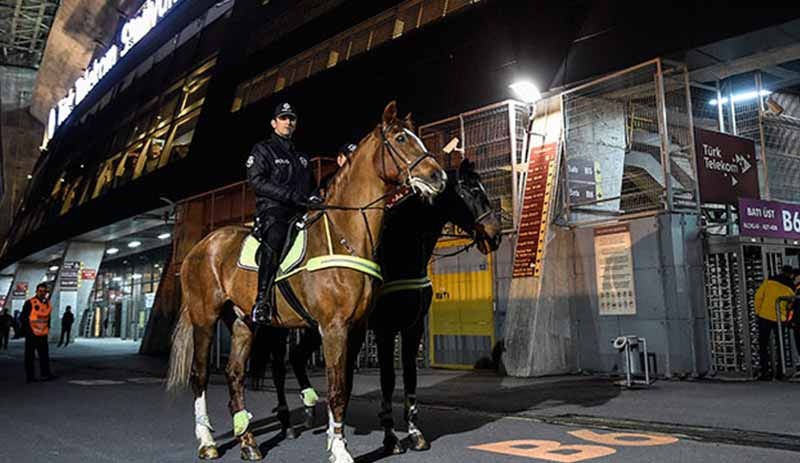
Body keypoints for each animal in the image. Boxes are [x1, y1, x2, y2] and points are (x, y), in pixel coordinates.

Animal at [166, 102, 446, 463]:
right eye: (400, 138)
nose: (437, 176)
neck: (344, 235)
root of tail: (199, 248)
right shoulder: (333, 328)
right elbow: (337, 388)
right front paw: (340, 450)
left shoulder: (355, 329)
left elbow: (345, 387)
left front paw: (335, 440)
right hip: (205, 317)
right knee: (199, 374)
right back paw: (207, 441)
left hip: (242, 322)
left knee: (234, 374)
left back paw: (248, 442)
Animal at [260, 159, 504, 454]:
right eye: (473, 192)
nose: (495, 235)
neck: (401, 252)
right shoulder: (385, 330)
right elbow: (387, 379)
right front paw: (390, 436)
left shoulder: (411, 328)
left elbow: (409, 376)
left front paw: (414, 432)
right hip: (282, 325)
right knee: (279, 367)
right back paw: (287, 423)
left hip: (315, 325)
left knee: (297, 357)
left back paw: (311, 410)